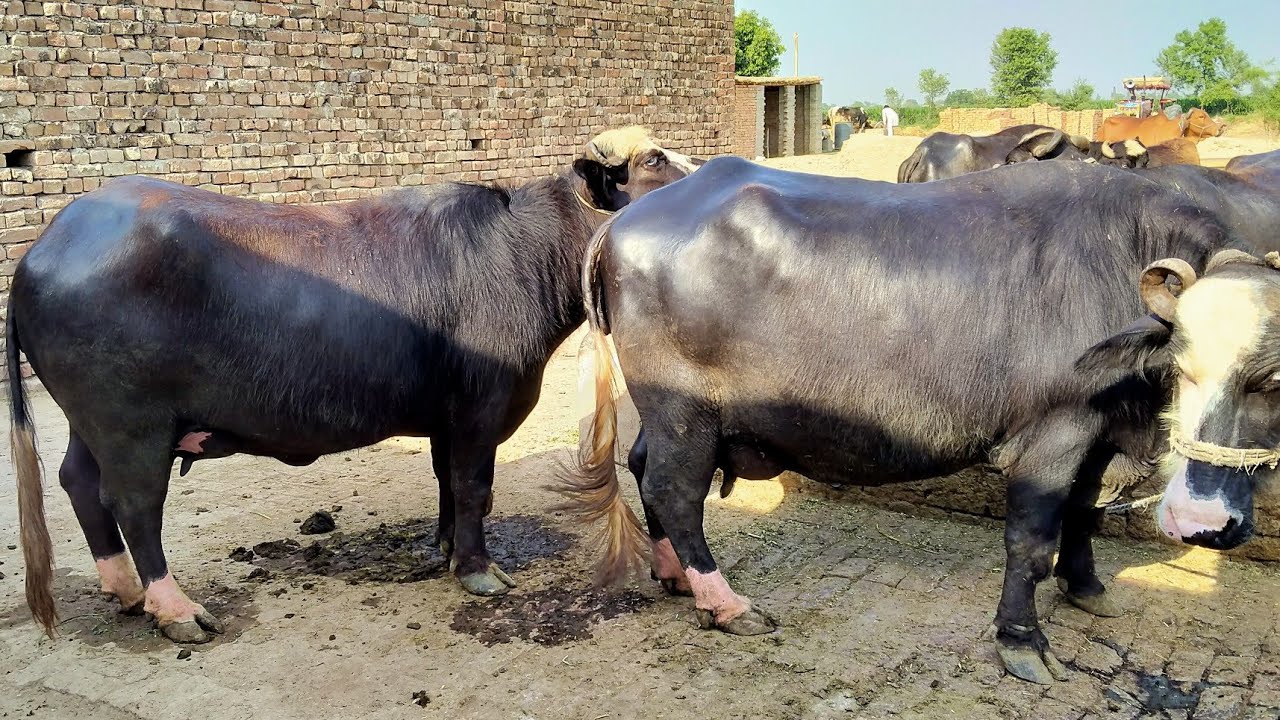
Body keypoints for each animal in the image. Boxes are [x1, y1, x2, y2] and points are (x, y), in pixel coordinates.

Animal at [6, 126, 699, 643]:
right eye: (655, 160)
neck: (524, 254)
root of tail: (43, 250)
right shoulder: (479, 411)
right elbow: (474, 488)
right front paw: (478, 571)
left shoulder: (445, 419)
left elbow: (447, 485)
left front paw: (445, 550)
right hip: (131, 425)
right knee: (134, 504)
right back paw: (176, 610)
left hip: (91, 424)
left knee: (80, 482)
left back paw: (125, 592)